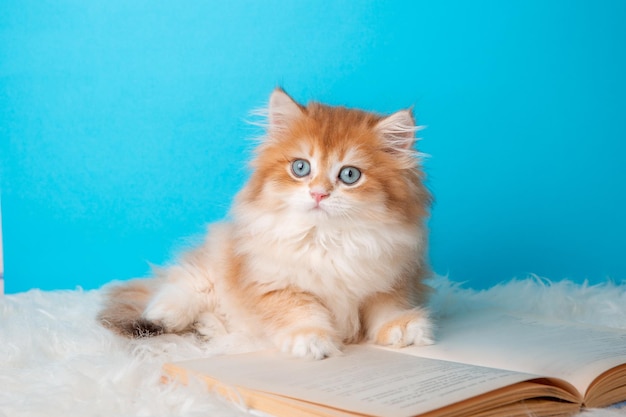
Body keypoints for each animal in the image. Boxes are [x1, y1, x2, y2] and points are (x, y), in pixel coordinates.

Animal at [97, 87, 432, 358]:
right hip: (213, 262)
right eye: (301, 168)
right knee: (182, 283)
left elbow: (386, 306)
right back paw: (163, 314)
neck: (326, 239)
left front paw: (403, 328)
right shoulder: (274, 283)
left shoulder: (392, 277)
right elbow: (300, 312)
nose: (318, 193)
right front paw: (312, 340)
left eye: (349, 175)